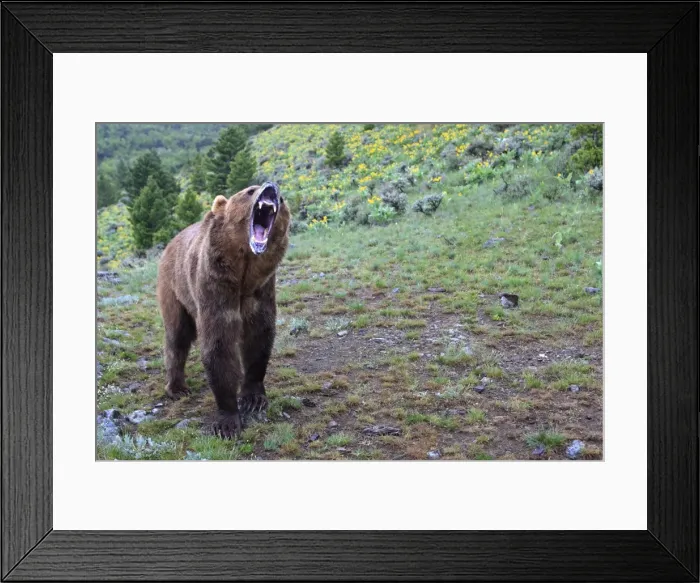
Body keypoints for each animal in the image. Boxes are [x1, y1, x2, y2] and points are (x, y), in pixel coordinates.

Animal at [156, 182, 290, 438]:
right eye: (250, 190)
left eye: (282, 199)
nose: (271, 187)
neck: (244, 272)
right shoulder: (215, 285)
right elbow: (219, 344)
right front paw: (227, 421)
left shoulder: (260, 290)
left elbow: (258, 338)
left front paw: (253, 398)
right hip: (174, 287)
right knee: (177, 336)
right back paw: (177, 387)